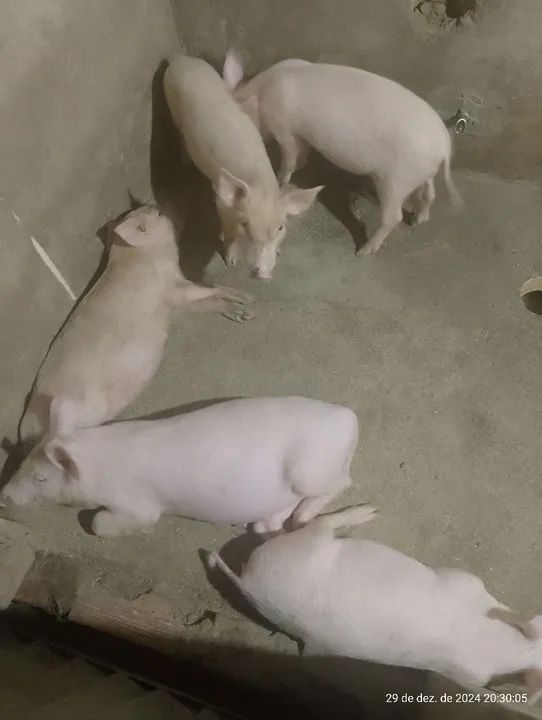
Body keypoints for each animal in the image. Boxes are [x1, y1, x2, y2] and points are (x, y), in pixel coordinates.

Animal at [4, 396, 359, 538]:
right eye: (23, 462)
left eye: (41, 478)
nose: (4, 495)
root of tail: (349, 418)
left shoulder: (140, 505)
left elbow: (101, 522)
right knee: (269, 525)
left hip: (311, 470)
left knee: (344, 483)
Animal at [20, 206, 253, 444]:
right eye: (158, 213)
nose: (180, 207)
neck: (142, 253)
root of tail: (25, 429)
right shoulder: (174, 287)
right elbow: (207, 287)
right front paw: (248, 298)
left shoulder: (173, 304)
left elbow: (206, 300)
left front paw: (244, 312)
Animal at [163, 55, 323, 279]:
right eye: (245, 225)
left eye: (280, 227)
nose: (261, 273)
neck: (260, 183)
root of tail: (180, 58)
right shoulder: (221, 205)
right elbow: (229, 234)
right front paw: (231, 262)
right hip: (172, 107)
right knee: (179, 136)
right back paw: (185, 162)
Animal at [208, 505, 542, 701]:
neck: (507, 649)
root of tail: (249, 583)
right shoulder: (466, 581)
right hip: (308, 544)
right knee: (304, 522)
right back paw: (367, 511)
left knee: (275, 529)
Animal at [223, 53, 462, 256]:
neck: (263, 91)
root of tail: (443, 145)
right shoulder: (300, 134)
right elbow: (303, 151)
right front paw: (302, 165)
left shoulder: (283, 127)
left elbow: (289, 156)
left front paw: (282, 179)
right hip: (422, 173)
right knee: (430, 193)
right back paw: (419, 220)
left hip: (395, 180)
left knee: (393, 216)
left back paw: (363, 251)